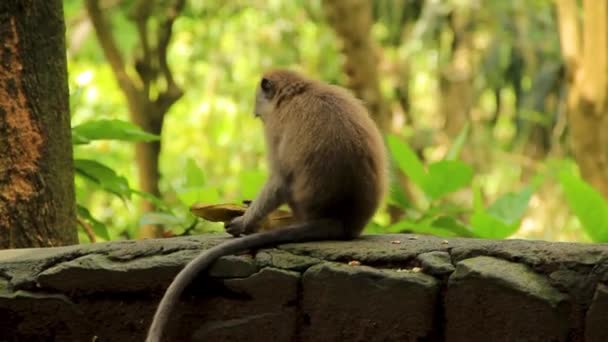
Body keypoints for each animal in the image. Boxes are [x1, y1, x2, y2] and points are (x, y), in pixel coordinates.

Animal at [145, 68, 388, 340]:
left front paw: (244, 222)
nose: (257, 114)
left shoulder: (276, 126)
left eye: (261, 115)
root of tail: (340, 220)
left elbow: (279, 179)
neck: (300, 90)